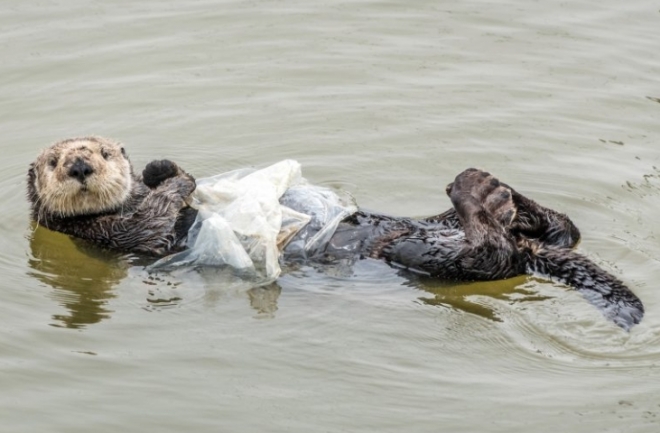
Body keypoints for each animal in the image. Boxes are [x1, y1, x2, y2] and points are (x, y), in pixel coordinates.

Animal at [27, 135, 644, 328]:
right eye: (56, 160)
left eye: (103, 151)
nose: (80, 164)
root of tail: (525, 248)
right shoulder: (114, 236)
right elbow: (153, 223)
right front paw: (173, 182)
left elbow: (163, 186)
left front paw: (164, 168)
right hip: (436, 259)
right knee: (492, 250)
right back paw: (483, 195)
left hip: (441, 231)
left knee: (563, 230)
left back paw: (502, 195)